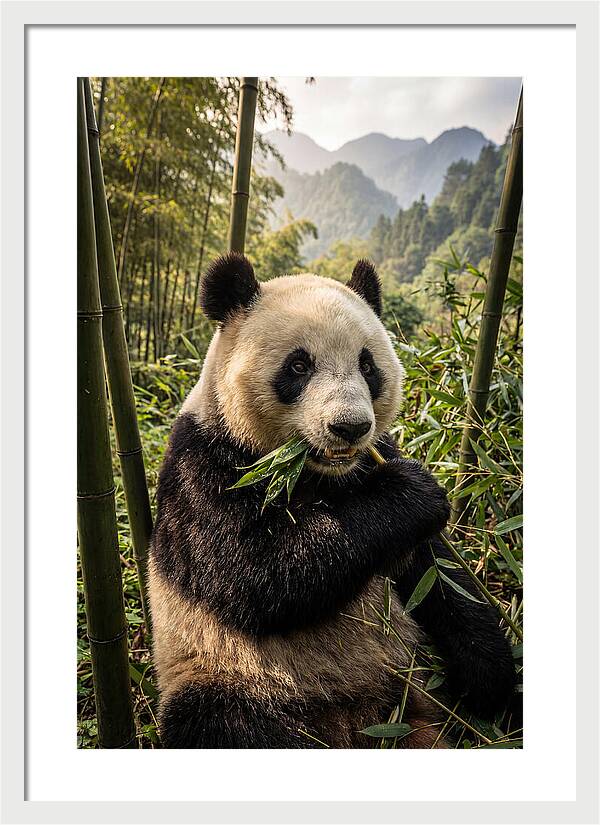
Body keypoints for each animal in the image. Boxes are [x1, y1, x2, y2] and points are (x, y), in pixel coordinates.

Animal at [148, 253, 516, 749]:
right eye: (298, 366)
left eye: (367, 365)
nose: (350, 427)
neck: (316, 473)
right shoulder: (203, 464)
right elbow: (255, 573)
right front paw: (412, 493)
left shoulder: (376, 461)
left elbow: (440, 577)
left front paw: (489, 678)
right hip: (227, 673)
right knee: (221, 722)